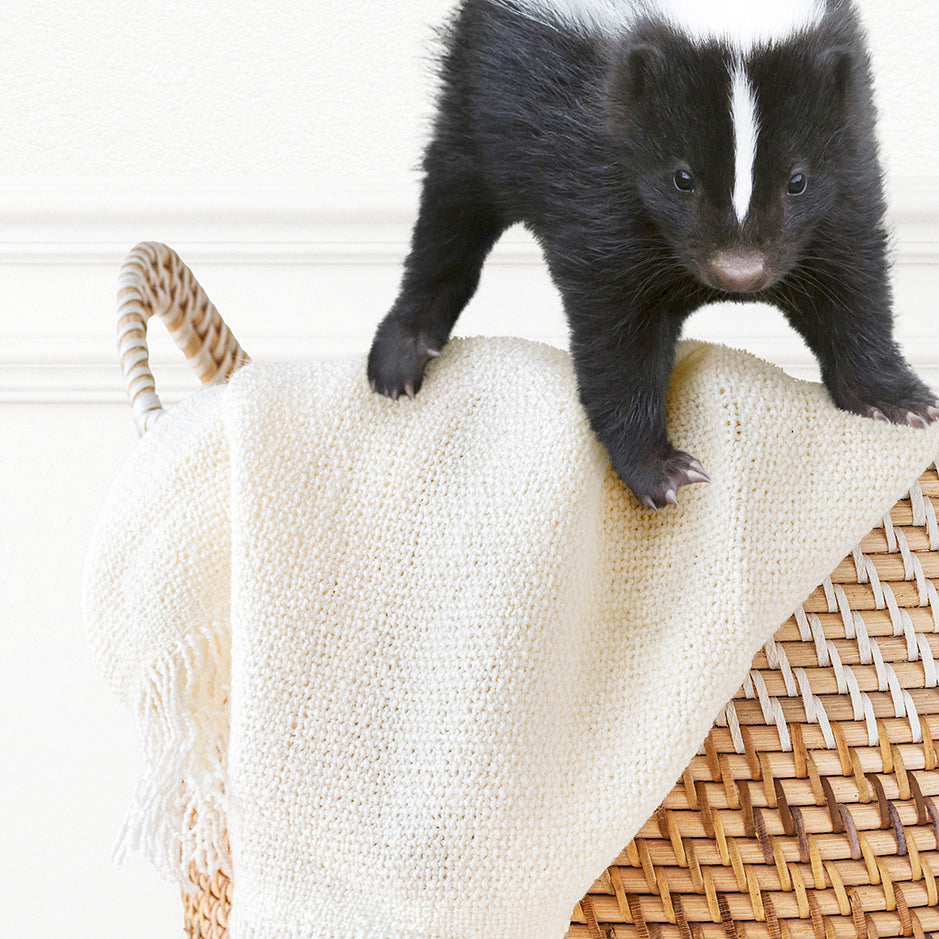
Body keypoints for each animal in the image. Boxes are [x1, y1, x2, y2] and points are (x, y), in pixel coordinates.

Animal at [368, 0, 939, 506]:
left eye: (797, 180)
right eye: (681, 178)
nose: (739, 272)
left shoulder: (848, 161)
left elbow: (850, 280)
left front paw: (897, 400)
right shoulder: (595, 165)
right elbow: (618, 331)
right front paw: (659, 468)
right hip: (478, 96)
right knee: (449, 215)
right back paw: (402, 353)